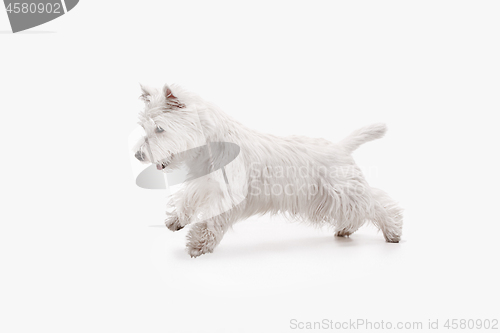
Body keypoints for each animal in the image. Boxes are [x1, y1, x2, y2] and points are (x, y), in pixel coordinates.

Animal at [134, 83, 402, 256]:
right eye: (144, 127)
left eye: (159, 128)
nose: (138, 155)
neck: (209, 144)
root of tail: (342, 147)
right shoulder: (204, 183)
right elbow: (187, 198)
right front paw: (175, 221)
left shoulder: (227, 192)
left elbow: (211, 219)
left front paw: (198, 244)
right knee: (358, 213)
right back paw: (346, 229)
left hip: (345, 190)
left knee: (377, 204)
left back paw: (393, 232)